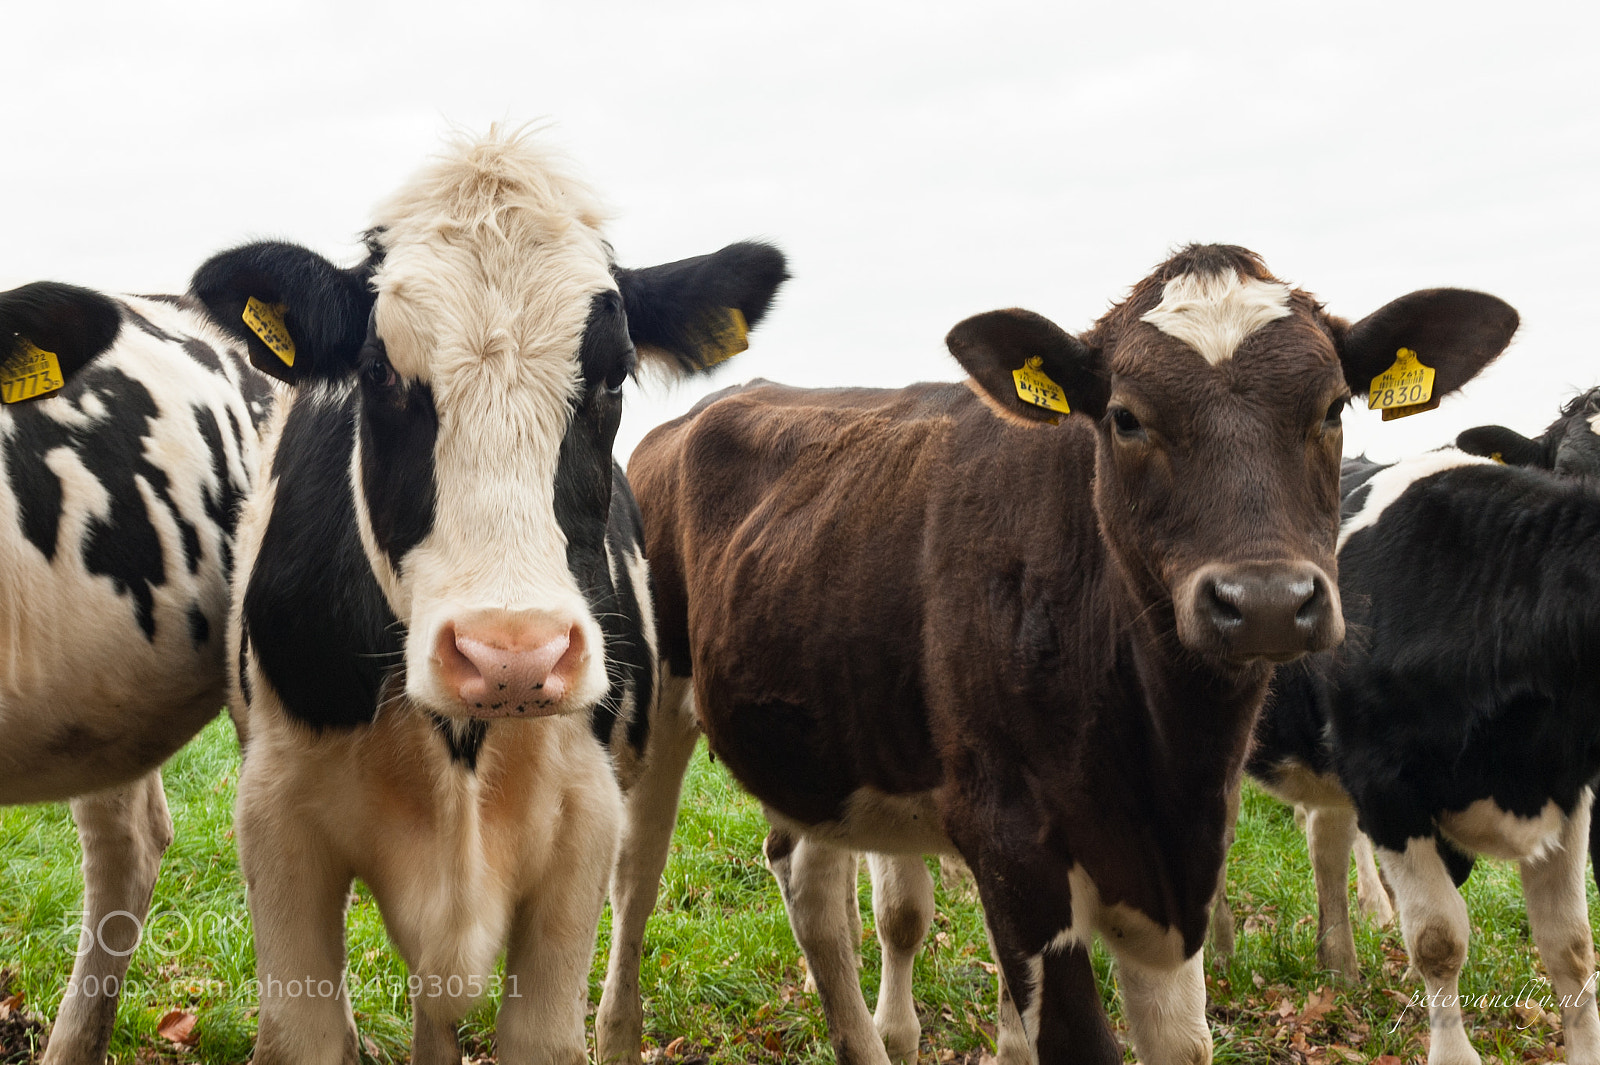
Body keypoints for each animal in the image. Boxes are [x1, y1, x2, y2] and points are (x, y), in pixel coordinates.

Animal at [186, 129, 787, 1065]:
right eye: (377, 372)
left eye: (614, 377)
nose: (512, 655)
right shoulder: (276, 819)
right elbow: (305, 1027)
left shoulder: (583, 824)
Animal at [602, 244, 1516, 1065]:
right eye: (1126, 416)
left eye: (1331, 408)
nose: (1263, 601)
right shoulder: (1014, 850)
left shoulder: (1172, 869)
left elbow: (1183, 1043)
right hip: (655, 709)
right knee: (636, 877)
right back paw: (615, 1034)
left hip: (826, 736)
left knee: (812, 890)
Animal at [1244, 392, 1600, 1065]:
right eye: (1569, 468)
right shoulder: (1382, 783)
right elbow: (1439, 935)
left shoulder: (1566, 788)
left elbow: (1570, 946)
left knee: (1325, 837)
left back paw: (1340, 964)